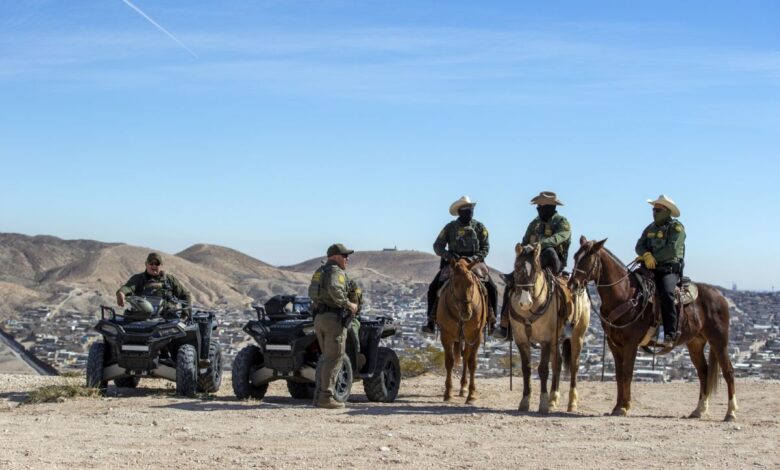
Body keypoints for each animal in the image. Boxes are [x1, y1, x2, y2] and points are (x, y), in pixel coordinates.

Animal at [438, 258, 488, 404]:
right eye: (454, 283)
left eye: (471, 283)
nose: (467, 313)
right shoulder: (445, 336)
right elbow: (449, 362)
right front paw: (448, 393)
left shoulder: (476, 337)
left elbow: (472, 363)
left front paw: (471, 395)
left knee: (466, 357)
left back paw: (464, 388)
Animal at [508, 244, 576, 414]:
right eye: (516, 268)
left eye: (536, 270)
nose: (525, 302)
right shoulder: (521, 341)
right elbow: (526, 369)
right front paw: (525, 401)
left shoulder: (546, 341)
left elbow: (543, 369)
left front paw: (543, 403)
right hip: (556, 341)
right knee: (557, 363)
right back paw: (554, 398)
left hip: (576, 337)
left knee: (573, 366)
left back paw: (569, 402)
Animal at [568, 237, 736, 420]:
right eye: (575, 256)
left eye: (588, 259)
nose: (572, 285)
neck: (625, 294)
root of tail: (720, 296)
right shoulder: (614, 344)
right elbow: (619, 375)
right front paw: (617, 406)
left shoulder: (631, 344)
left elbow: (627, 373)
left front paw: (624, 407)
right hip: (695, 343)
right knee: (703, 372)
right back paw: (699, 410)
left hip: (719, 340)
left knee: (728, 371)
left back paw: (731, 412)